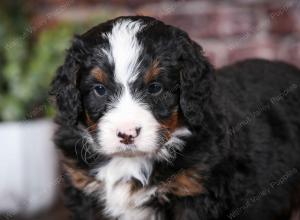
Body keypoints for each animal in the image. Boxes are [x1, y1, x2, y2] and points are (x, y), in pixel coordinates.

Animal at [50, 15, 300, 220]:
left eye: (155, 88)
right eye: (99, 90)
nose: (127, 134)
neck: (131, 162)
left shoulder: (194, 194)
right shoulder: (85, 195)